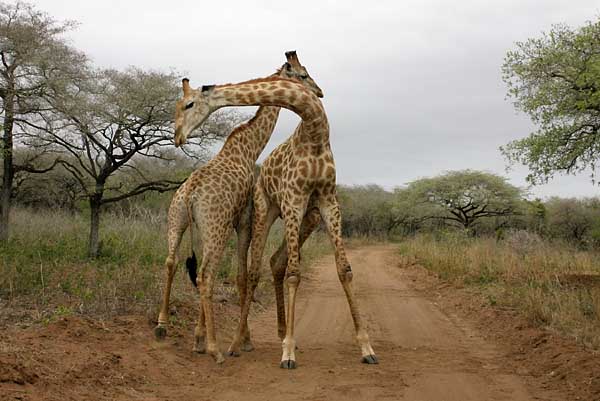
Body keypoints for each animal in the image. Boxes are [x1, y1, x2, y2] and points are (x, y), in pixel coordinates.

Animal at [156, 51, 324, 364]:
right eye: (303, 74)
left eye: (186, 105)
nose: (319, 91)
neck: (249, 147)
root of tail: (190, 195)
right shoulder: (244, 219)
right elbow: (242, 276)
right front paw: (243, 340)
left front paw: (198, 337)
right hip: (216, 230)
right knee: (205, 275)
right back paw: (216, 350)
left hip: (178, 221)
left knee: (172, 261)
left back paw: (162, 326)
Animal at [227, 53, 378, 368]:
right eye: (303, 74)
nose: (319, 92)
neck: (315, 138)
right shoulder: (293, 201)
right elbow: (295, 273)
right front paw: (288, 354)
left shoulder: (328, 202)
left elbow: (344, 270)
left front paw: (366, 347)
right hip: (268, 210)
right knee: (254, 270)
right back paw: (237, 342)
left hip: (309, 217)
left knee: (276, 261)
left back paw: (282, 330)